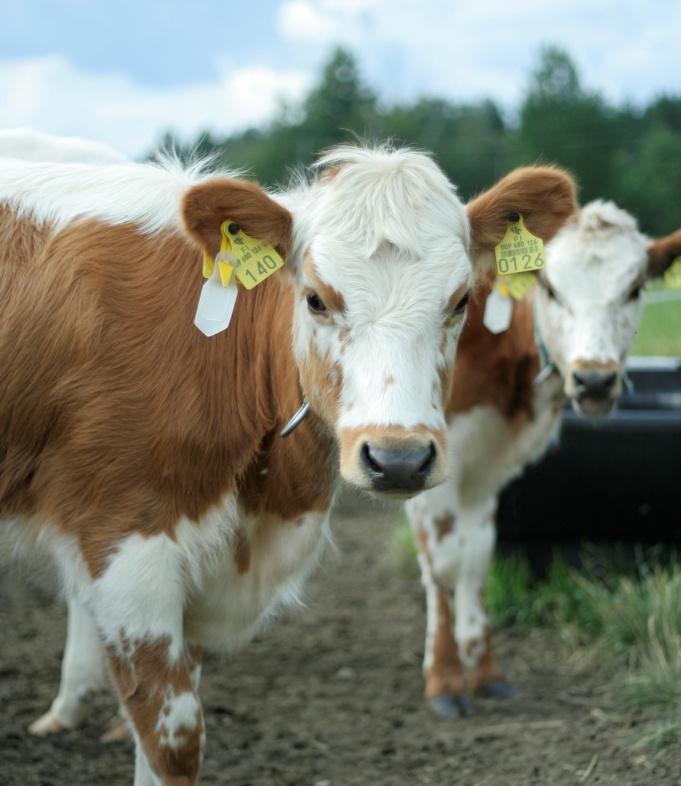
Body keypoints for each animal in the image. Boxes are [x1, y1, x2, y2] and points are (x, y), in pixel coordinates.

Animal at [404, 198, 680, 716]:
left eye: (634, 289)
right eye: (550, 288)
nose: (595, 381)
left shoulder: (487, 468)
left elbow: (477, 557)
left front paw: (484, 669)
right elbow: (442, 564)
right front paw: (445, 679)